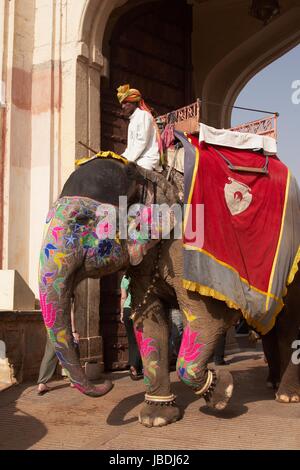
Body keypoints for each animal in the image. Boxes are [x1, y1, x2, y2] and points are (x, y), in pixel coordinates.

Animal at [38, 157, 298, 426]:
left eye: (82, 220)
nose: (107, 383)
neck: (152, 180)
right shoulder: (144, 265)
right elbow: (149, 325)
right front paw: (156, 418)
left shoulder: (188, 255)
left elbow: (206, 318)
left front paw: (222, 392)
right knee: (270, 328)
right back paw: (273, 383)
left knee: (288, 326)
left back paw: (287, 396)